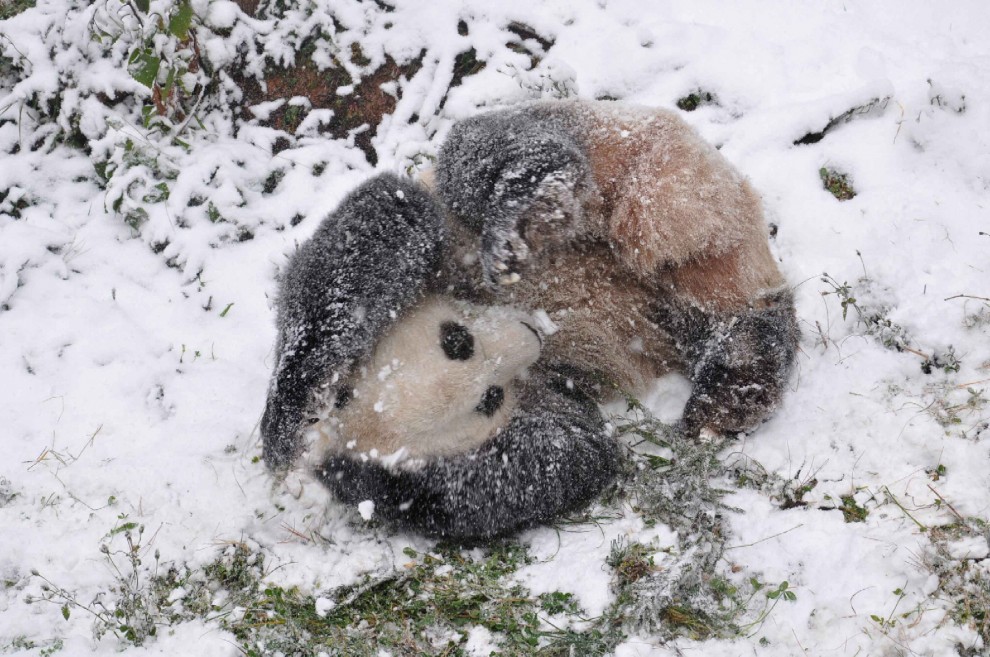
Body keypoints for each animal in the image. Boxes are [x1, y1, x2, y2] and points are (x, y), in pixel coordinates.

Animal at [261, 173, 619, 539]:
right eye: (490, 399)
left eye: (456, 339)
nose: (531, 336)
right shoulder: (418, 488)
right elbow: (562, 457)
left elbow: (377, 222)